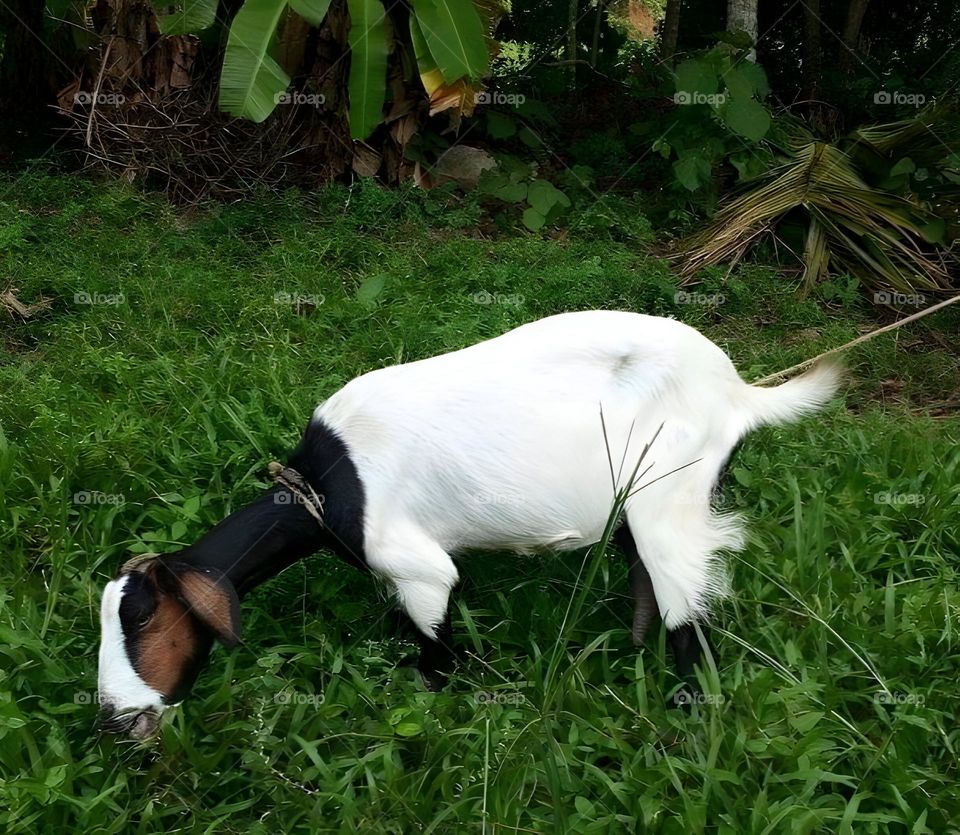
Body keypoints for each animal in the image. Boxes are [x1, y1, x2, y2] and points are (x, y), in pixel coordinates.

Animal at [96, 310, 841, 738]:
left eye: (143, 618)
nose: (114, 719)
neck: (328, 486)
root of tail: (740, 395)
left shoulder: (420, 568)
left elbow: (434, 649)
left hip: (673, 491)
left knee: (689, 612)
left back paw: (685, 721)